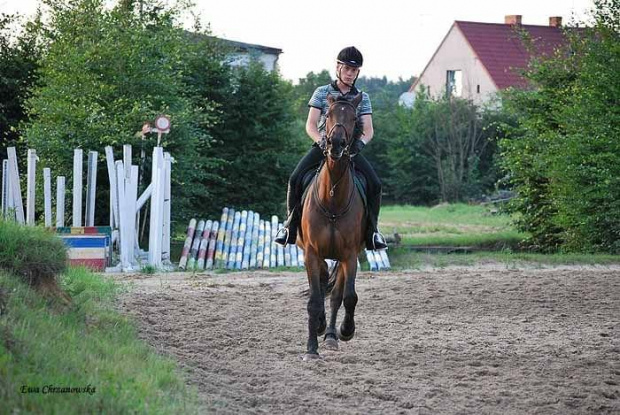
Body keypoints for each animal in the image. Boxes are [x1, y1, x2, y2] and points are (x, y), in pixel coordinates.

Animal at [296, 92, 366, 360]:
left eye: (354, 118)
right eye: (328, 115)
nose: (335, 144)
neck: (333, 197)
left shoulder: (349, 255)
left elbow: (348, 297)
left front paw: (345, 331)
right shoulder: (311, 253)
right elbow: (314, 300)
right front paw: (311, 349)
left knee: (336, 295)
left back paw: (331, 336)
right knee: (322, 282)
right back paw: (320, 327)